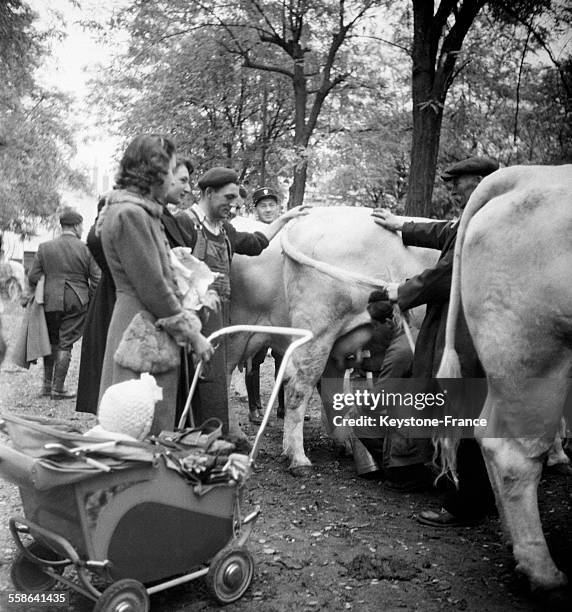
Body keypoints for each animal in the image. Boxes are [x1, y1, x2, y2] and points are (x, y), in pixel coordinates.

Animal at [438, 165, 572, 592]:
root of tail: (525, 173)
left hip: (506, 367)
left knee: (487, 433)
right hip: (534, 357)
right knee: (515, 452)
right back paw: (543, 572)